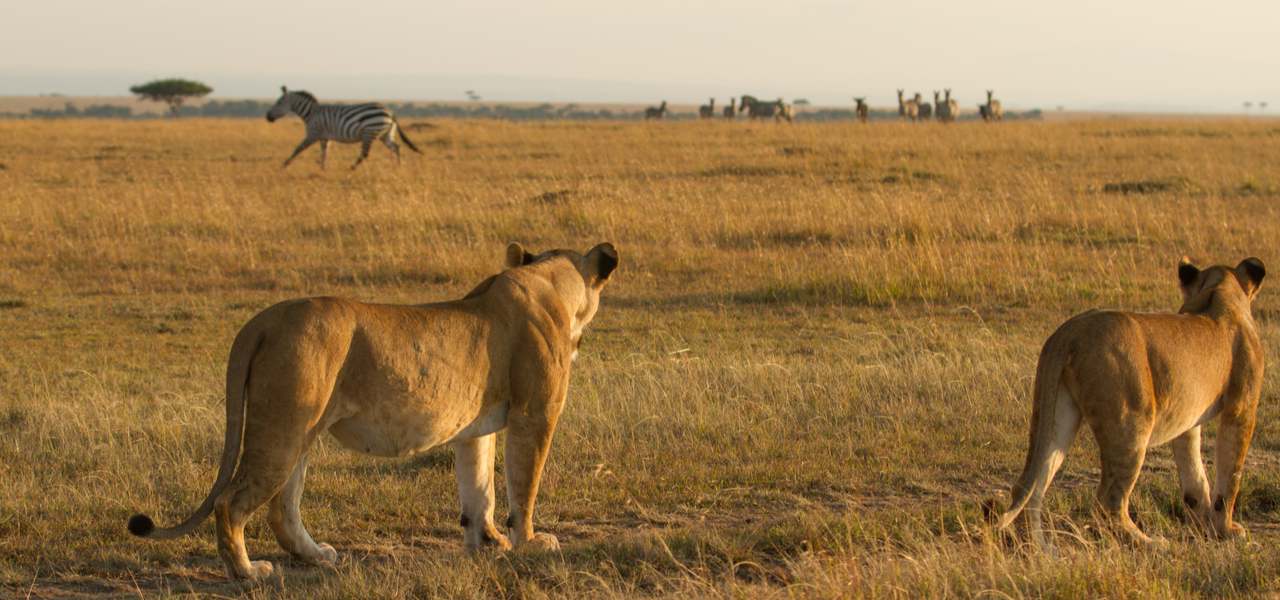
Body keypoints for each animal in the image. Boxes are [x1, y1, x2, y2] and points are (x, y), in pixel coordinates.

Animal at [264, 84, 419, 170]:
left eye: (278, 102)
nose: (267, 117)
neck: (311, 113)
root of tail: (391, 112)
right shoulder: (324, 137)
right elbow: (324, 153)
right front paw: (322, 169)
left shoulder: (313, 134)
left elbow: (298, 149)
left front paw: (283, 165)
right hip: (385, 134)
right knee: (396, 147)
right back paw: (398, 167)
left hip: (369, 132)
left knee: (365, 153)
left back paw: (351, 168)